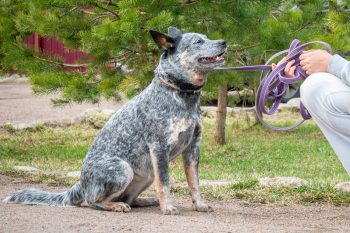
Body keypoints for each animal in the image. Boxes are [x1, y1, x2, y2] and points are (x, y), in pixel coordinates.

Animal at [4, 26, 228, 215]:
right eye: (198, 41)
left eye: (207, 37)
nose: (224, 41)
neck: (180, 94)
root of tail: (80, 183)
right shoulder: (159, 147)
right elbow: (165, 183)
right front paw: (168, 208)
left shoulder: (193, 147)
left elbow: (194, 182)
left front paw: (199, 205)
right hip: (123, 168)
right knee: (92, 201)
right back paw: (117, 206)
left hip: (146, 174)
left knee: (129, 198)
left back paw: (144, 201)